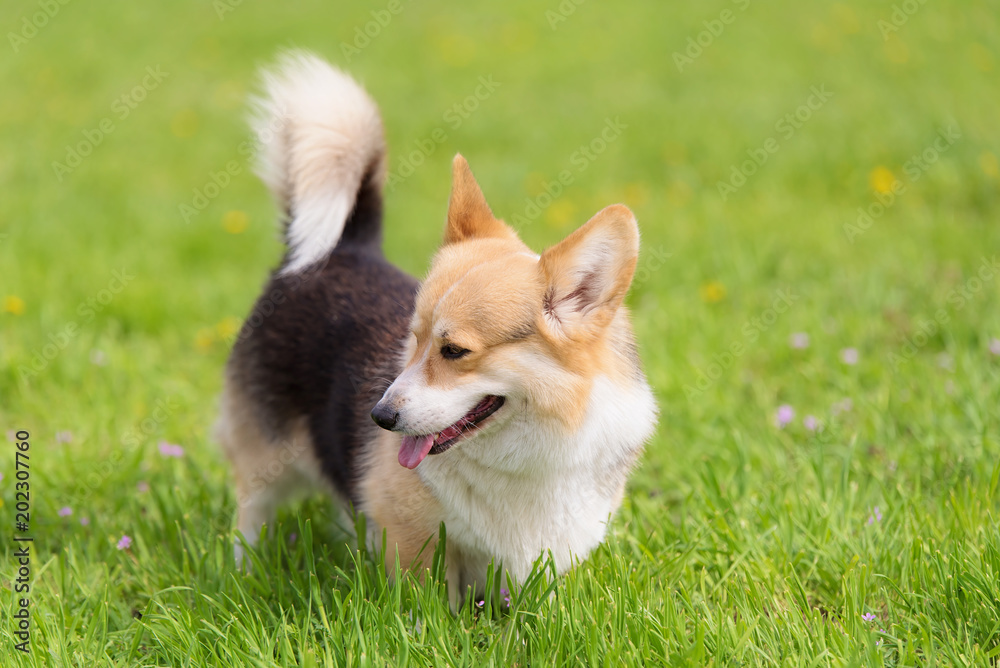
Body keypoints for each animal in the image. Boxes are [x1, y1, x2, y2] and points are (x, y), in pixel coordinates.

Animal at [217, 52, 656, 604]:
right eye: (413, 341)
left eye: (454, 351)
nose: (379, 417)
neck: (535, 445)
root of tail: (345, 246)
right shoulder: (412, 536)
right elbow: (424, 601)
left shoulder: (554, 551)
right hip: (264, 460)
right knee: (250, 517)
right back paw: (242, 577)